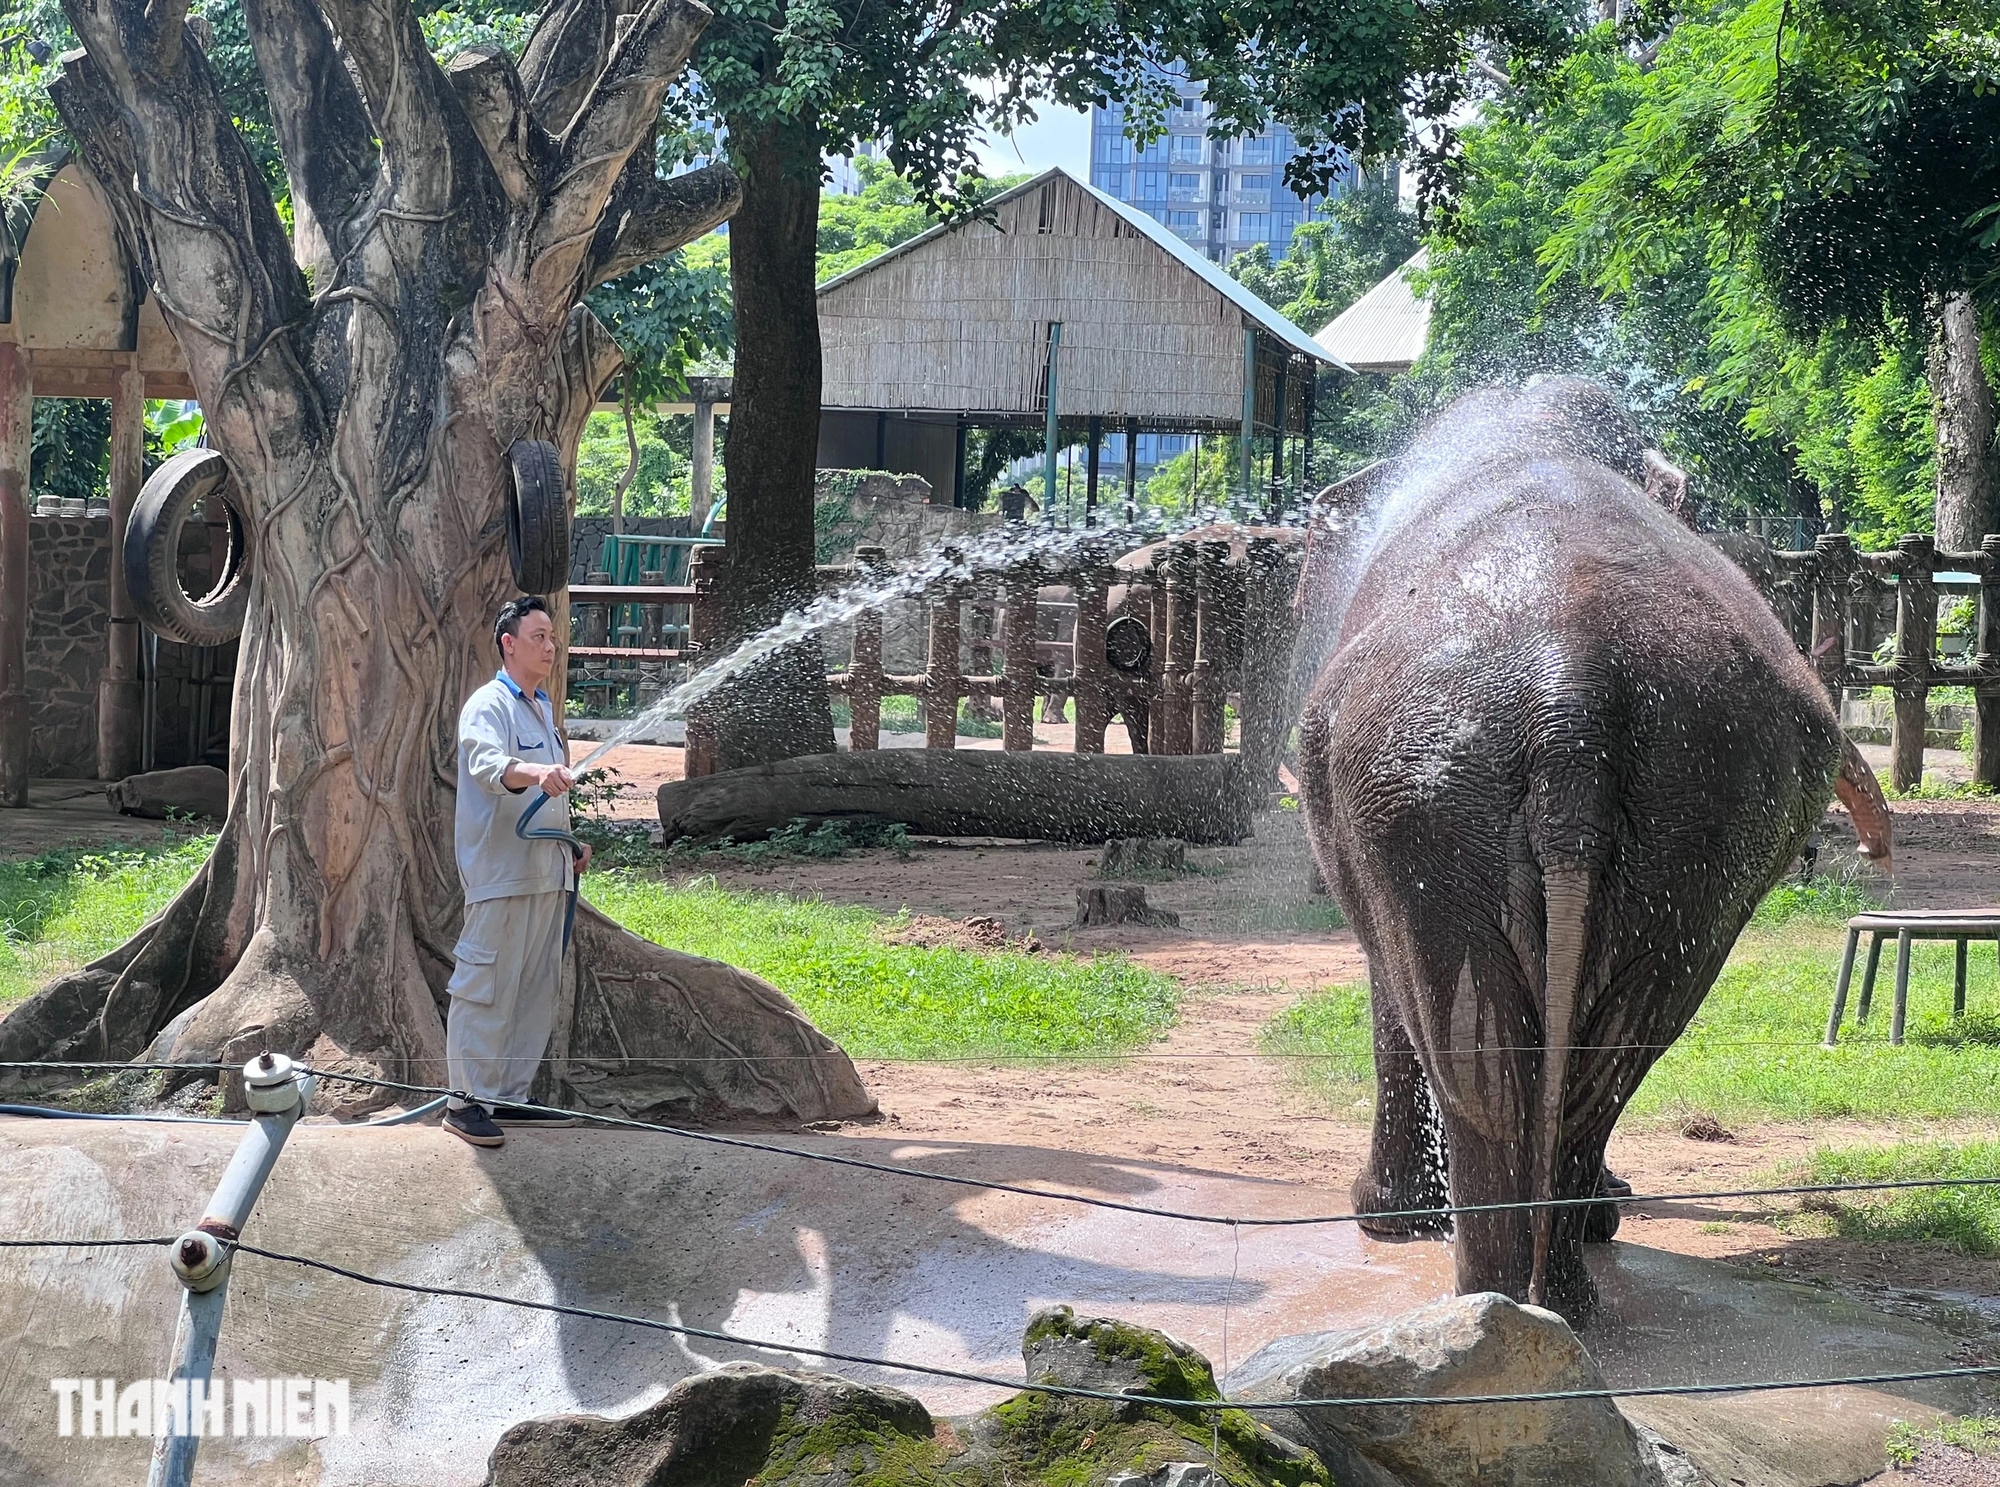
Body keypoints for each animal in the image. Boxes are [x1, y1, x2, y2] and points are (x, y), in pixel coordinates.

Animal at [1296, 377, 1888, 1319]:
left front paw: (1387, 1221)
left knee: (1480, 1063)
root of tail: (1565, 689)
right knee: (1608, 1049)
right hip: (1695, 807)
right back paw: (1554, 1297)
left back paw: (1500, 1295)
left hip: (1422, 791)